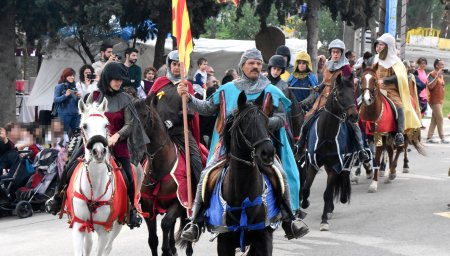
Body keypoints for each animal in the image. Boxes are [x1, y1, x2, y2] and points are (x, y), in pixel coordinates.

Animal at [66, 98, 143, 256]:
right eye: (84, 126)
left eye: (105, 125)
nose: (99, 151)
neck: (94, 188)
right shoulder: (78, 224)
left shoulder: (105, 230)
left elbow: (101, 249)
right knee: (89, 244)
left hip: (119, 222)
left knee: (108, 247)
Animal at [136, 96, 194, 256]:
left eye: (145, 115)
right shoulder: (148, 207)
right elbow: (153, 240)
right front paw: (167, 249)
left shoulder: (179, 202)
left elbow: (165, 223)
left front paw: (166, 250)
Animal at [298, 74, 358, 232]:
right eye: (340, 94)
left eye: (353, 93)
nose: (354, 116)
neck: (326, 135)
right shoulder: (313, 164)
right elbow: (306, 188)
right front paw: (304, 204)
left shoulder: (334, 166)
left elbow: (327, 193)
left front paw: (324, 220)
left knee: (343, 177)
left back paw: (340, 200)